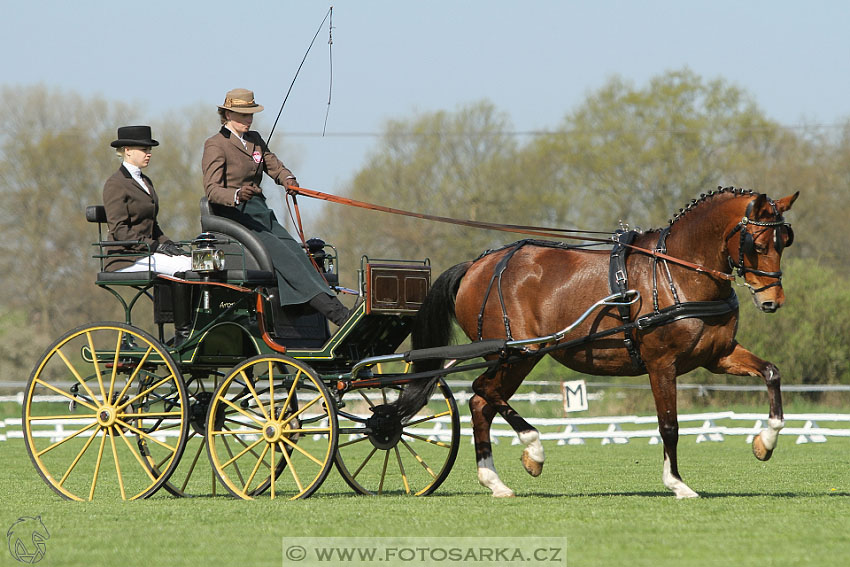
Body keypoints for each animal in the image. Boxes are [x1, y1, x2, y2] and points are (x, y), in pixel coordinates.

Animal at [390, 189, 796, 500]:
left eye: (784, 241)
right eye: (758, 244)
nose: (772, 300)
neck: (677, 273)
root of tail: (476, 265)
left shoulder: (718, 356)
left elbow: (772, 374)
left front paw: (765, 443)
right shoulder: (661, 364)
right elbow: (669, 425)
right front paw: (677, 484)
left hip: (516, 358)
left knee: (481, 402)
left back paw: (496, 481)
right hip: (518, 354)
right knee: (481, 391)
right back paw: (534, 450)